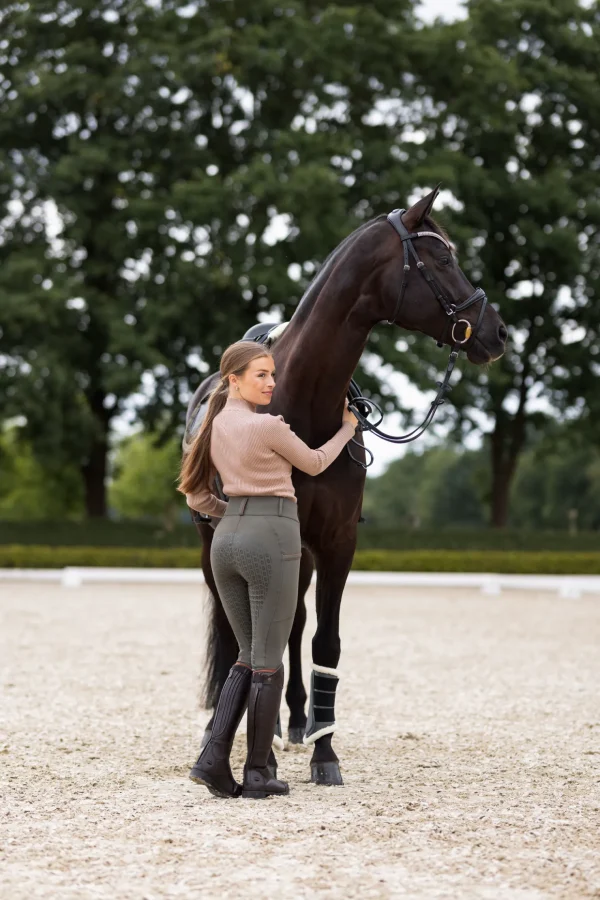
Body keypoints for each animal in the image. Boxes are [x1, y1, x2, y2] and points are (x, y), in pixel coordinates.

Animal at [184, 186, 506, 784]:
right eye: (441, 258)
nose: (496, 332)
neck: (301, 405)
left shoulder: (336, 544)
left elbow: (324, 641)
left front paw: (324, 752)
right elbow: (256, 635)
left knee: (291, 623)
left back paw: (293, 721)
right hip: (211, 549)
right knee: (246, 628)